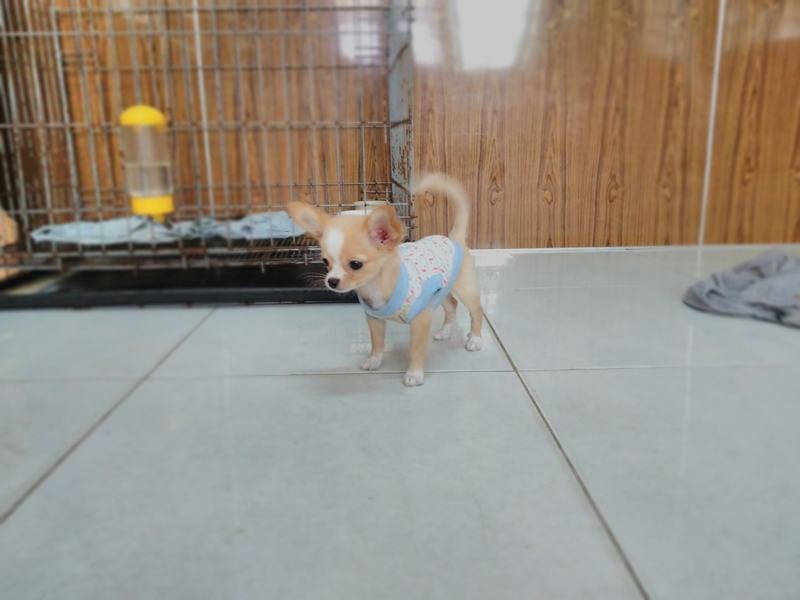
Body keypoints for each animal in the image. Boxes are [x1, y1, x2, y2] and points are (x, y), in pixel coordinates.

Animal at [286, 173, 482, 387]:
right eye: (325, 262)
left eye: (355, 264)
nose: (332, 281)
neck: (375, 286)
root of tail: (453, 238)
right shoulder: (374, 319)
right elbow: (377, 343)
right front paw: (374, 360)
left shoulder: (421, 319)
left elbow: (416, 350)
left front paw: (414, 374)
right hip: (441, 293)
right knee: (452, 306)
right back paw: (445, 332)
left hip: (464, 289)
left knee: (476, 311)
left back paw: (475, 339)